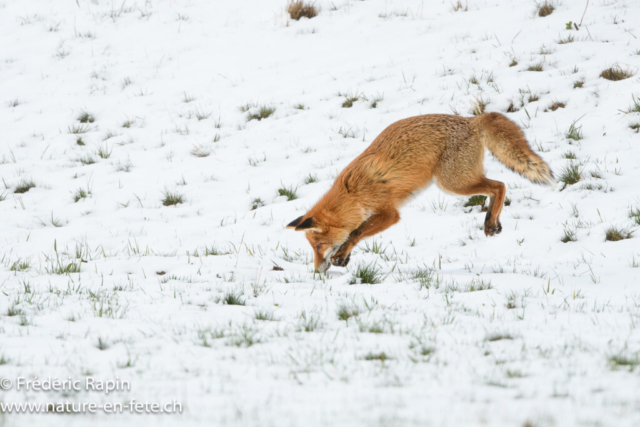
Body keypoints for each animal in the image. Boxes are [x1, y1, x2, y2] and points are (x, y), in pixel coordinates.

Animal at [287, 112, 554, 273]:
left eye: (319, 246)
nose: (316, 271)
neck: (353, 194)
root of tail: (472, 119)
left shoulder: (390, 214)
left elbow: (356, 232)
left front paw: (341, 255)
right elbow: (354, 233)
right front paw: (344, 257)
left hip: (452, 183)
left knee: (500, 186)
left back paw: (490, 223)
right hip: (459, 181)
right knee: (496, 189)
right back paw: (493, 222)